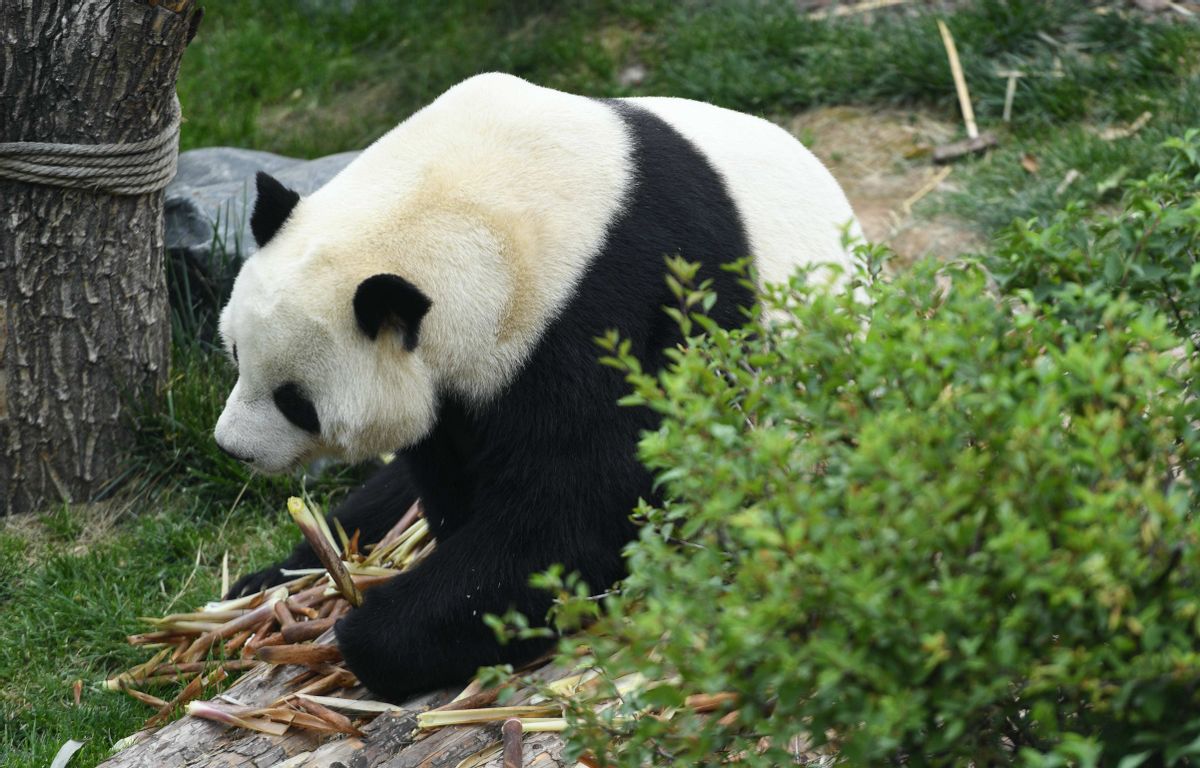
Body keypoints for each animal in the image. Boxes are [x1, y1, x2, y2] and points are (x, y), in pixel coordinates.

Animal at [213, 72, 854, 700]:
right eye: (237, 353)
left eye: (296, 401)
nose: (232, 448)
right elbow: (449, 475)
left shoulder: (621, 303)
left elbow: (581, 514)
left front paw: (370, 631)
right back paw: (260, 583)